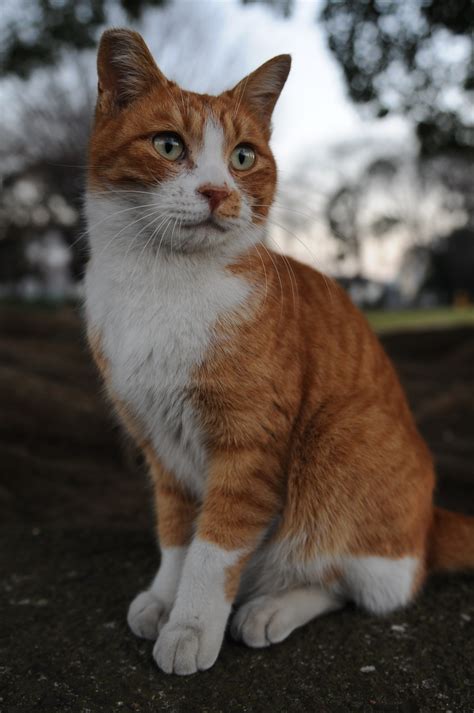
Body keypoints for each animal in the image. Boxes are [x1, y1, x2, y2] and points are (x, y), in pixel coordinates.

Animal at [85, 27, 474, 672]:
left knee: (353, 585)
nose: (216, 192)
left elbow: (213, 549)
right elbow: (176, 534)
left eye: (242, 157)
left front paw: (190, 625)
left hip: (341, 444)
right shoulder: (161, 447)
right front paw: (164, 598)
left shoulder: (249, 448)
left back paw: (270, 609)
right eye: (168, 145)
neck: (162, 286)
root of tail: (430, 522)